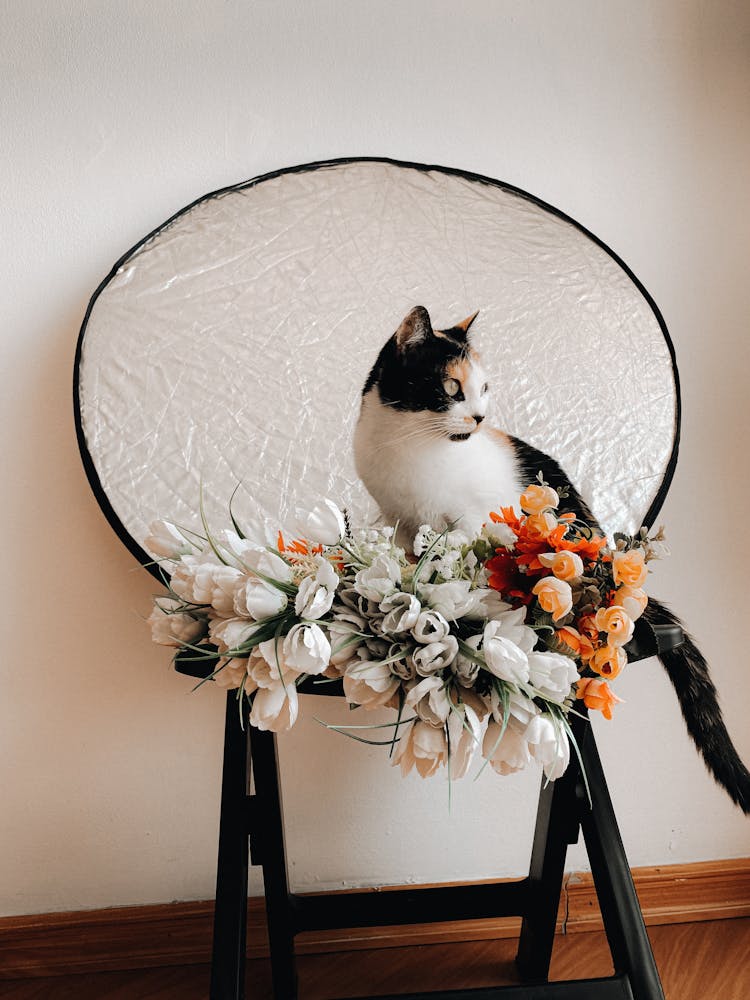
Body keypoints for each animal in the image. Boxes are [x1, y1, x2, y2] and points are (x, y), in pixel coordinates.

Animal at [356, 302, 750, 812]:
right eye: (452, 388)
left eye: (484, 388)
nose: (480, 417)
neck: (408, 444)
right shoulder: (397, 520)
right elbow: (406, 556)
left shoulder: (471, 519)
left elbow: (465, 563)